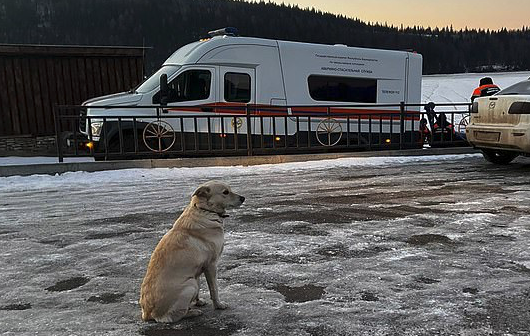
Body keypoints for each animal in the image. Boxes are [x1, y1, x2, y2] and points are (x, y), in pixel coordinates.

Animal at [137, 181, 242, 322]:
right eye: (225, 192)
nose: (243, 198)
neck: (205, 210)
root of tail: (147, 314)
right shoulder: (211, 265)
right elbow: (214, 289)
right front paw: (218, 305)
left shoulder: (198, 270)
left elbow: (200, 286)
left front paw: (198, 301)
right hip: (190, 285)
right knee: (172, 317)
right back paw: (192, 312)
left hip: (192, 281)